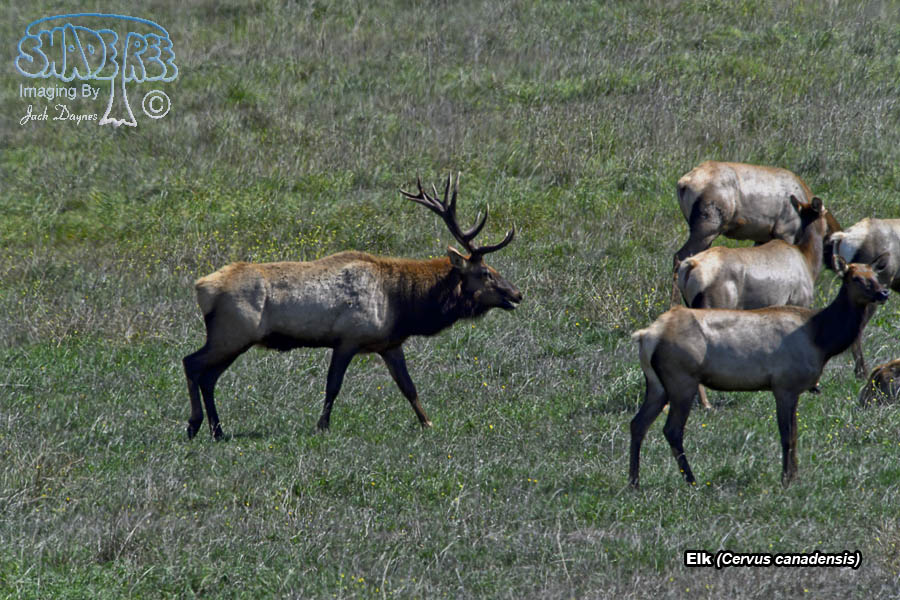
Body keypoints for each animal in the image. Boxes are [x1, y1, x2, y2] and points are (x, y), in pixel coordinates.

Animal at [182, 173, 521, 440]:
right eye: (485, 272)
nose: (517, 294)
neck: (403, 304)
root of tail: (203, 287)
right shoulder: (348, 338)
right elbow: (333, 386)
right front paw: (322, 426)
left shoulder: (390, 344)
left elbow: (408, 386)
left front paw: (428, 423)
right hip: (233, 333)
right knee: (192, 363)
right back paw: (194, 425)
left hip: (234, 339)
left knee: (208, 377)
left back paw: (217, 430)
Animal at [630, 255, 890, 489]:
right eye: (855, 278)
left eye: (875, 275)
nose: (884, 293)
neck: (822, 340)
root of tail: (646, 336)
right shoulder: (784, 385)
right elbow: (787, 435)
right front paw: (786, 479)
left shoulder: (791, 389)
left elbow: (794, 433)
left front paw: (794, 476)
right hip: (682, 381)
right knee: (672, 430)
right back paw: (692, 481)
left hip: (657, 385)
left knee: (638, 424)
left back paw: (634, 482)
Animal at [671, 161, 841, 304]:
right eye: (835, 242)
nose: (838, 267)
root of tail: (683, 183)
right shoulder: (785, 232)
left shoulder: (763, 237)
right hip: (707, 230)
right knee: (679, 255)